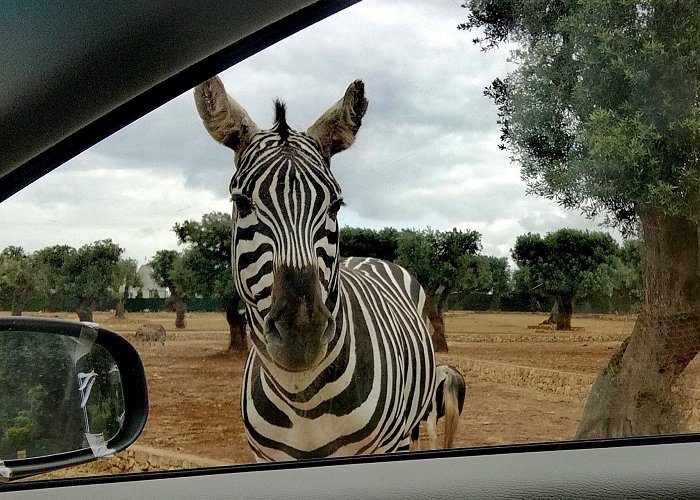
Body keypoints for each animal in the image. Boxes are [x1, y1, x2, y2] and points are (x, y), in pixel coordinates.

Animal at [194, 74, 434, 460]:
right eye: (241, 203)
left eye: (335, 205)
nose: (300, 335)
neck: (301, 397)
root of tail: (370, 258)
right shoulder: (263, 455)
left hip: (406, 430)